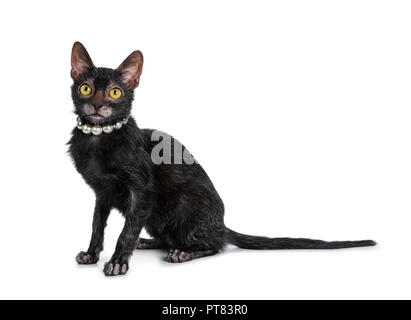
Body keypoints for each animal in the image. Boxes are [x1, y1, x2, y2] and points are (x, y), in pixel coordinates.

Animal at [67, 42, 376, 278]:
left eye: (115, 92)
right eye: (86, 88)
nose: (97, 105)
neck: (98, 138)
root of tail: (221, 224)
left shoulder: (141, 192)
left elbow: (126, 231)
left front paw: (118, 262)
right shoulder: (102, 193)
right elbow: (96, 225)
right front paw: (91, 254)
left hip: (183, 204)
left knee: (213, 244)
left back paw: (181, 253)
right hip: (158, 217)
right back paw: (151, 242)